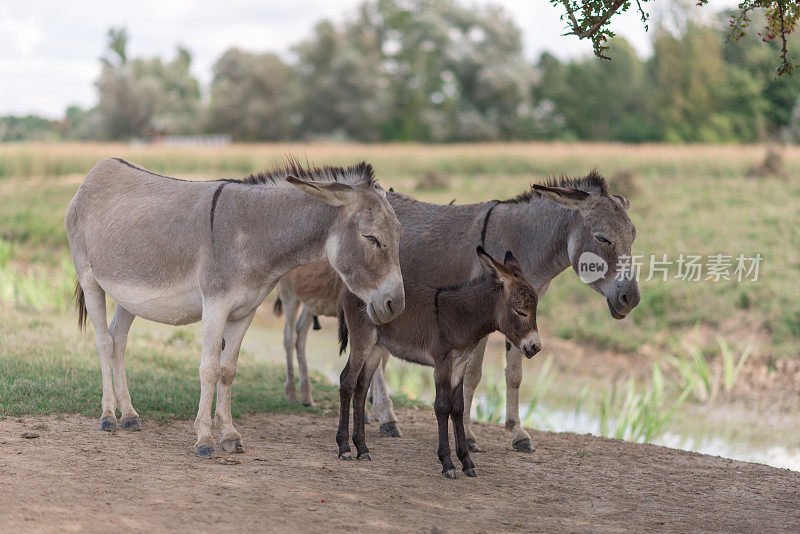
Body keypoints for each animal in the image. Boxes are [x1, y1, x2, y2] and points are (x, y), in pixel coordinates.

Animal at [334, 249, 540, 480]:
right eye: (521, 311)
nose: (536, 347)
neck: (461, 316)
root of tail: (348, 290)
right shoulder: (442, 363)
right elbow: (441, 407)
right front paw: (448, 464)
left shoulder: (460, 365)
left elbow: (458, 408)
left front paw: (467, 462)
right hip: (362, 340)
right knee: (347, 381)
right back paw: (344, 448)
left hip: (376, 347)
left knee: (361, 388)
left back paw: (362, 449)